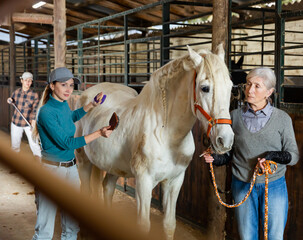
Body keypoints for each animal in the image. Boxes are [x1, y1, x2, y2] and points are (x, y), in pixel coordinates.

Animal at [75, 45, 234, 240]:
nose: (225, 140)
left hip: (112, 165)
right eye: (205, 88)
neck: (166, 133)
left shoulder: (174, 181)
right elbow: (144, 226)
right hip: (83, 162)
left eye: (230, 86)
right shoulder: (144, 182)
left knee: (107, 189)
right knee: (86, 191)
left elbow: (169, 224)